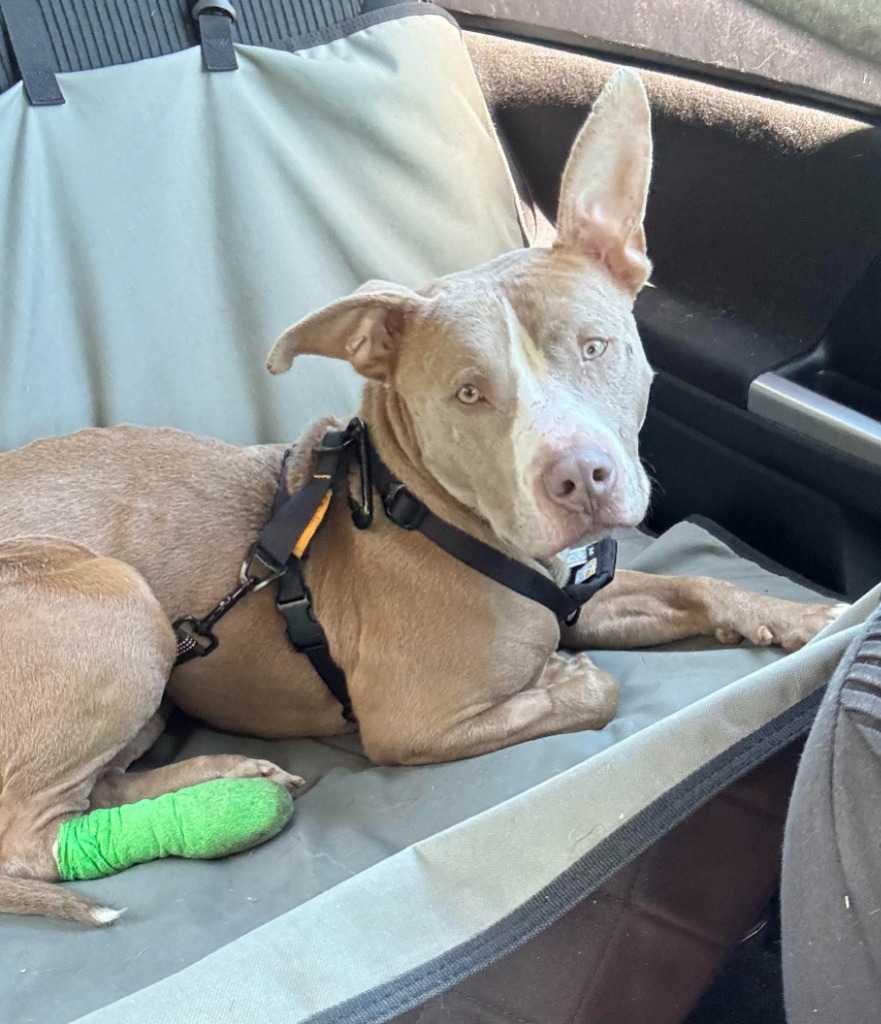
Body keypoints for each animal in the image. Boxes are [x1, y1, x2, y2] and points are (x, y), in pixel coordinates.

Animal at [0, 68, 844, 925]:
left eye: (594, 346)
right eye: (468, 393)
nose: (580, 477)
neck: (428, 508)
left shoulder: (581, 592)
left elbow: (696, 585)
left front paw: (803, 618)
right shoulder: (415, 723)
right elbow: (596, 687)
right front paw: (564, 678)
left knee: (95, 787)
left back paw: (223, 778)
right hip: (114, 600)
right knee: (31, 834)